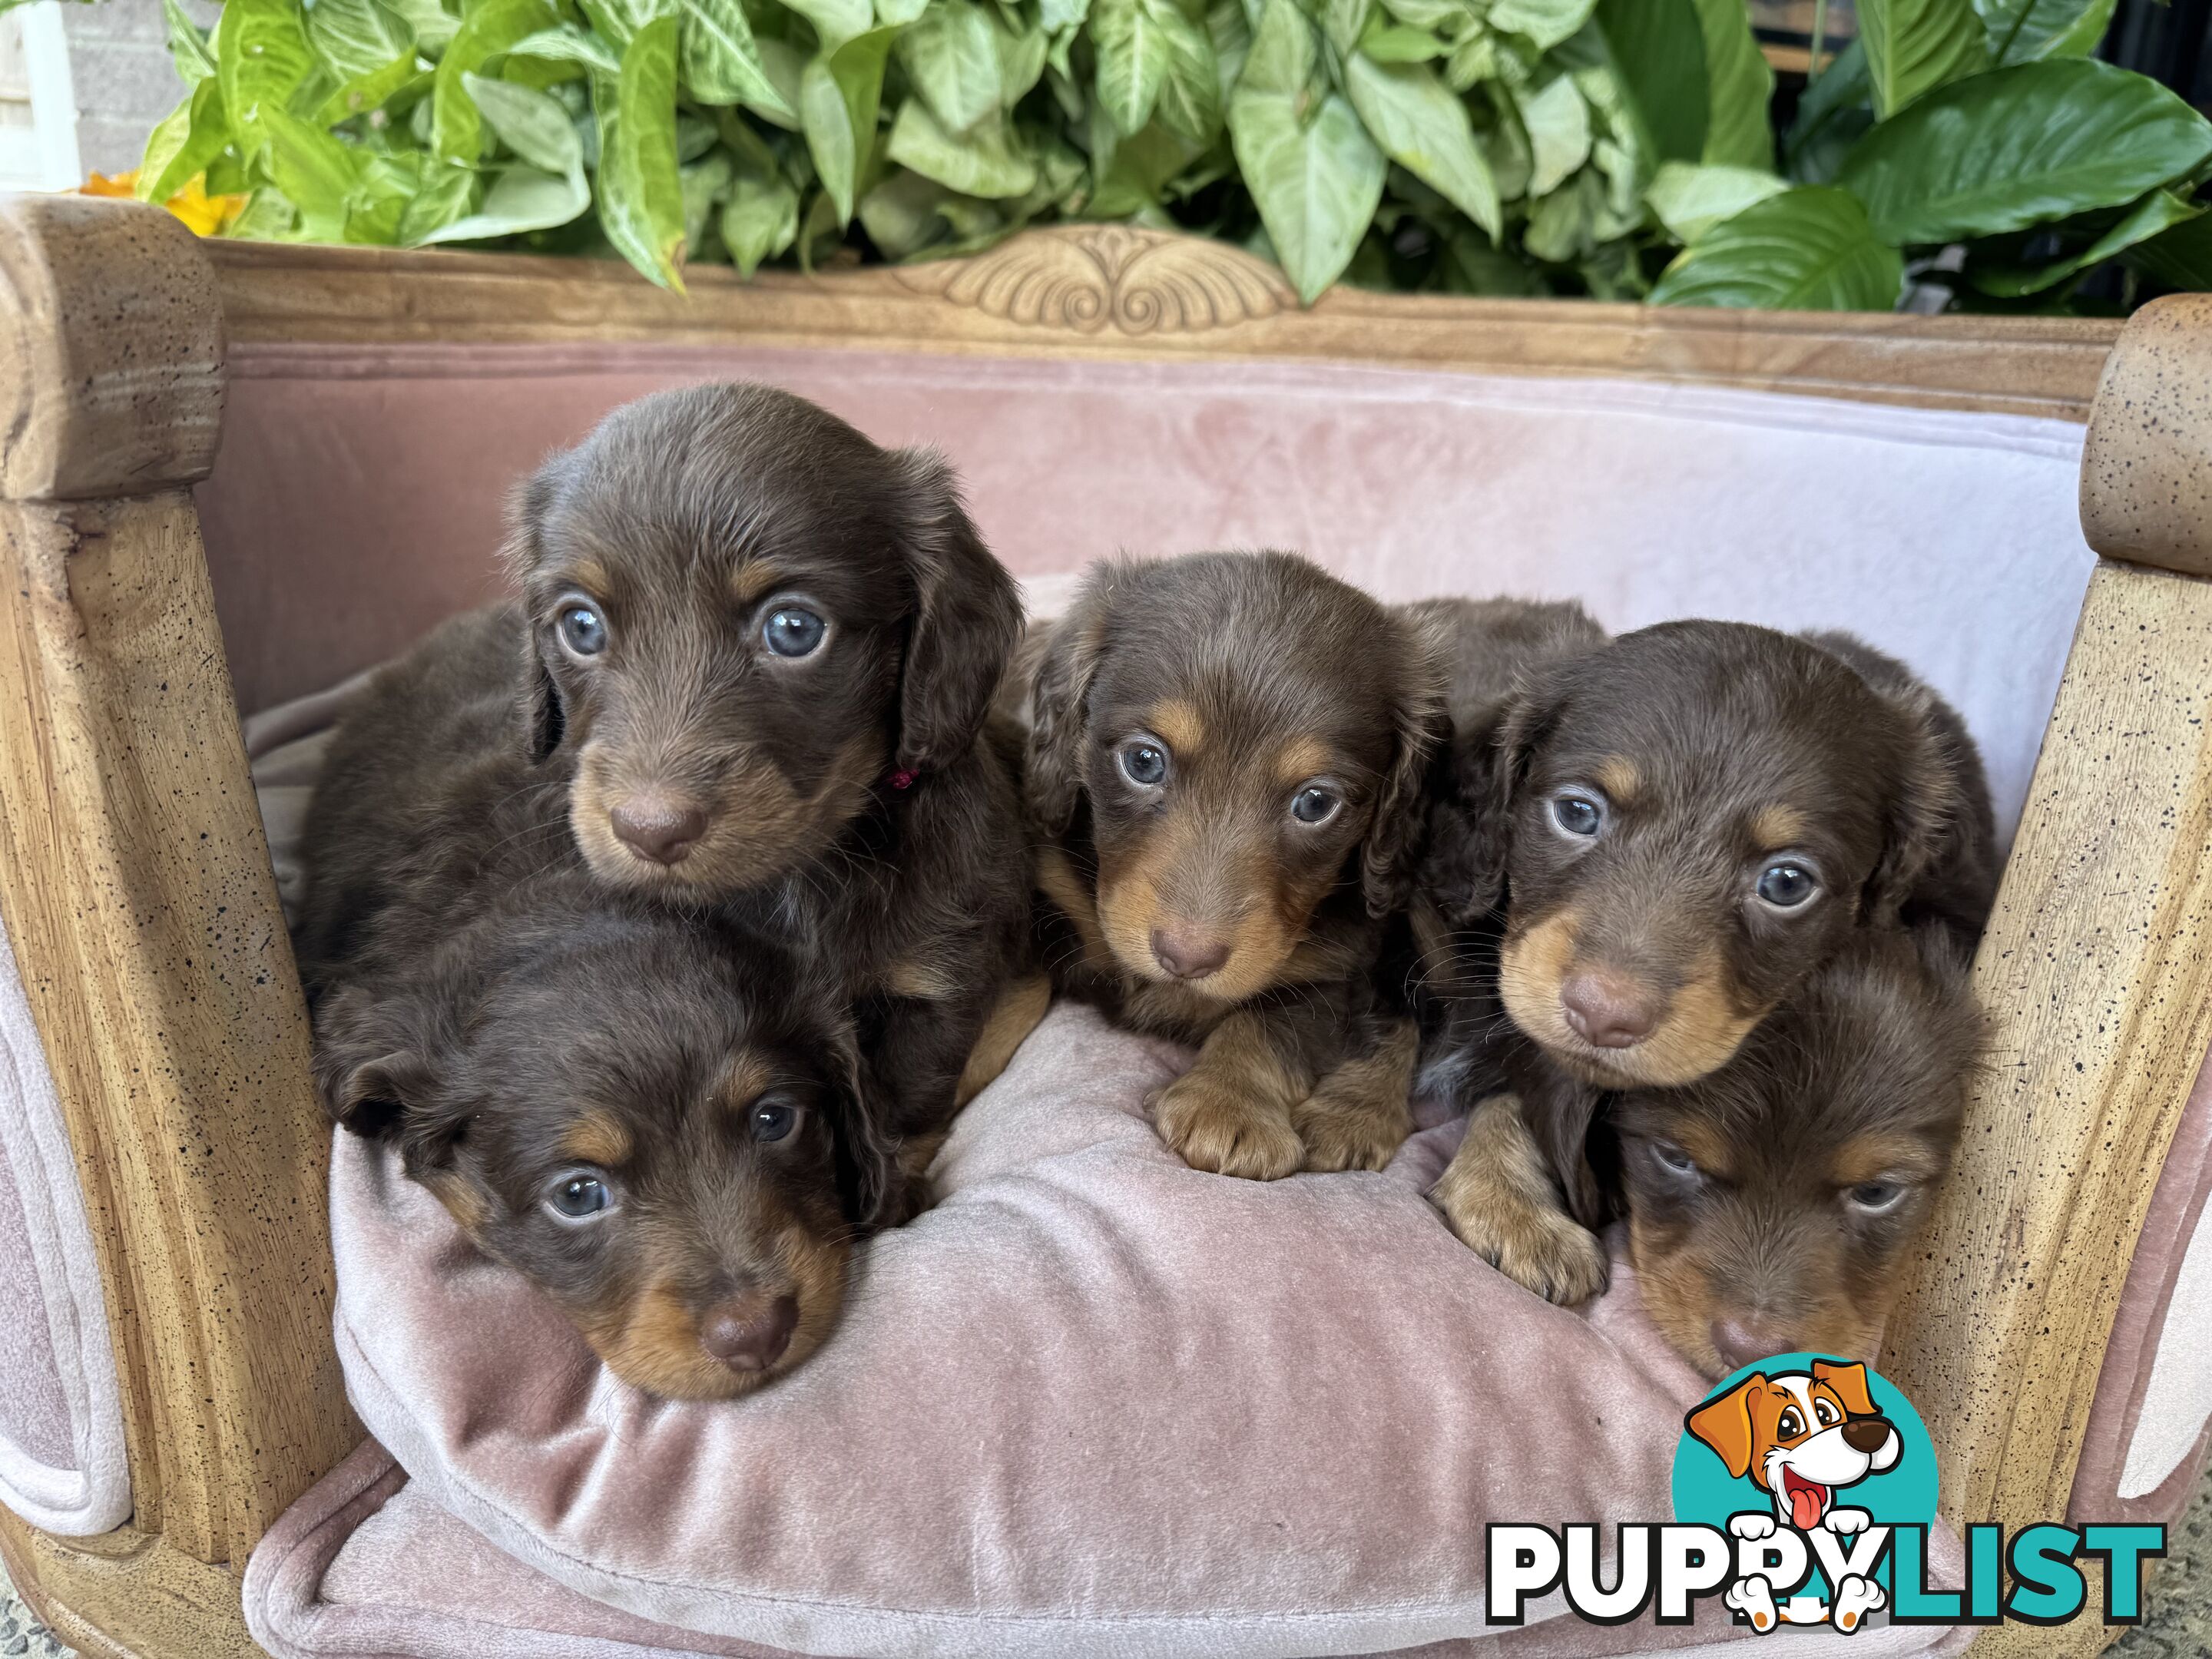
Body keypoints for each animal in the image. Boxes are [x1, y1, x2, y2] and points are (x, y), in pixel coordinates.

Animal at [298, 382, 1039, 1159]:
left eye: (794, 629)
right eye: (581, 626)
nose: (650, 830)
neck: (800, 880)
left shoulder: (935, 990)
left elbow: (905, 1115)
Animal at [1022, 559, 1442, 1185]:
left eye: (1316, 803)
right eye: (1143, 761)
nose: (1186, 959)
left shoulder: (1337, 974)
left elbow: (1266, 1024)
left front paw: (1228, 1104)